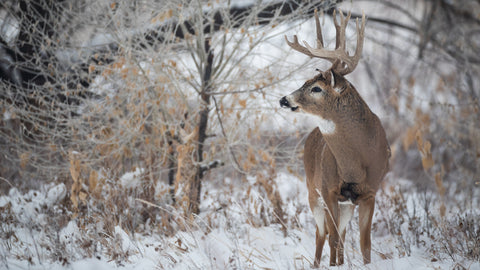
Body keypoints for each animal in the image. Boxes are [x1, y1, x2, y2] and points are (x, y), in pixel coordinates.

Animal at [280, 8, 392, 268]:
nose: (284, 100)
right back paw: (318, 263)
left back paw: (339, 261)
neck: (355, 164)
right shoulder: (327, 189)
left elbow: (365, 244)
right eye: (304, 82)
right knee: (323, 234)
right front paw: (331, 264)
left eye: (316, 88)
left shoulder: (370, 193)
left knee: (339, 233)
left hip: (345, 204)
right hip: (312, 190)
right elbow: (331, 238)